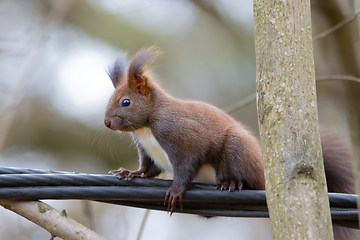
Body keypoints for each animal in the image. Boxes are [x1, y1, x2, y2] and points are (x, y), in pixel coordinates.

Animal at [103, 47, 354, 231]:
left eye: (126, 102)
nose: (106, 122)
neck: (146, 126)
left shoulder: (180, 135)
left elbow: (187, 164)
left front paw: (175, 190)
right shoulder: (147, 150)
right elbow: (148, 168)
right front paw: (130, 173)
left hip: (237, 148)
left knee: (250, 180)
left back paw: (233, 183)